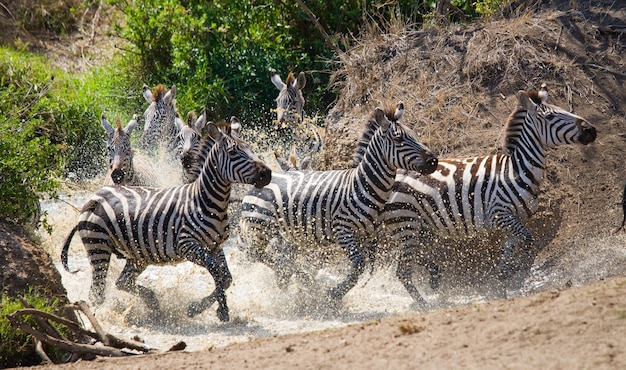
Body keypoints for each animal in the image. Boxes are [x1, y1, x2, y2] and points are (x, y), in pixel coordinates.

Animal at [60, 120, 270, 320]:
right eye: (233, 152)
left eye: (251, 149)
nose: (267, 174)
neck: (207, 202)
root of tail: (92, 198)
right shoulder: (188, 245)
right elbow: (216, 271)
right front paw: (222, 310)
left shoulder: (216, 246)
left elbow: (226, 278)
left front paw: (196, 308)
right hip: (98, 245)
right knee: (97, 293)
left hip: (137, 255)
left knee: (122, 282)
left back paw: (153, 303)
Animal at [239, 102, 438, 302]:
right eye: (398, 139)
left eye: (414, 135)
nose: (434, 161)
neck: (362, 186)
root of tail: (261, 180)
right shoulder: (342, 230)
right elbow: (359, 264)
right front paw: (334, 294)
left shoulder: (369, 235)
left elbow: (375, 263)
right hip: (260, 225)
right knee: (256, 254)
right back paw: (290, 275)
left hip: (283, 232)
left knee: (269, 255)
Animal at [380, 86, 596, 306]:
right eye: (551, 116)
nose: (591, 130)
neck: (516, 170)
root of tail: (396, 174)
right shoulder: (500, 214)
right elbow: (528, 240)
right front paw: (512, 271)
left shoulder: (513, 220)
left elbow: (510, 247)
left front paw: (502, 277)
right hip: (405, 224)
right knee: (403, 271)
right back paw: (424, 304)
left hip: (420, 228)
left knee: (413, 259)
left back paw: (433, 279)